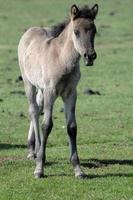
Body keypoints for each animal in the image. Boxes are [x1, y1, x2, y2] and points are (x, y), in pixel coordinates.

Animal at [17, 3, 98, 178]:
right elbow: (46, 125)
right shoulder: (51, 91)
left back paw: (34, 148)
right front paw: (39, 168)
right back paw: (35, 151)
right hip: (29, 83)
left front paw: (78, 169)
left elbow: (72, 127)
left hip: (41, 89)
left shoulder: (71, 93)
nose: (89, 56)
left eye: (94, 31)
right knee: (34, 111)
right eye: (76, 32)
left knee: (38, 107)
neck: (62, 59)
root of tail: (30, 30)